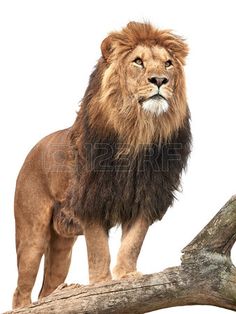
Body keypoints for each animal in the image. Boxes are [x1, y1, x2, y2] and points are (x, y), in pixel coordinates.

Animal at [12, 22, 192, 310]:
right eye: (138, 61)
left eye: (168, 64)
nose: (160, 81)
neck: (138, 132)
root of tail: (33, 148)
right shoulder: (92, 200)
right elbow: (98, 250)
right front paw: (100, 284)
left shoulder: (146, 198)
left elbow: (132, 243)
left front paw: (128, 276)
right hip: (32, 233)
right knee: (21, 289)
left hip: (61, 243)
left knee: (48, 288)